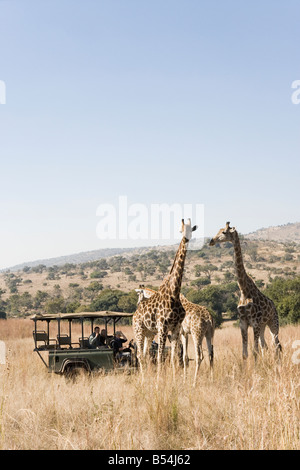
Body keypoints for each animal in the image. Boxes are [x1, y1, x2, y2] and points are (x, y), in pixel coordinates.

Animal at [132, 218, 198, 380]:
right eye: (181, 229)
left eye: (191, 230)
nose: (186, 239)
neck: (174, 293)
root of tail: (134, 314)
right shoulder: (162, 327)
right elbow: (161, 356)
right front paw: (158, 381)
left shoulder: (175, 328)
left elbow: (174, 357)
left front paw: (174, 380)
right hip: (138, 330)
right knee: (139, 355)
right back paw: (143, 379)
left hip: (149, 333)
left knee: (144, 354)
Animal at [209, 222, 282, 358]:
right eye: (218, 230)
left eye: (224, 232)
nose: (211, 241)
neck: (243, 290)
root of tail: (274, 305)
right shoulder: (243, 323)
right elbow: (245, 353)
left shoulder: (255, 323)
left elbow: (254, 351)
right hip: (263, 326)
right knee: (266, 346)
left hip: (273, 322)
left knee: (277, 346)